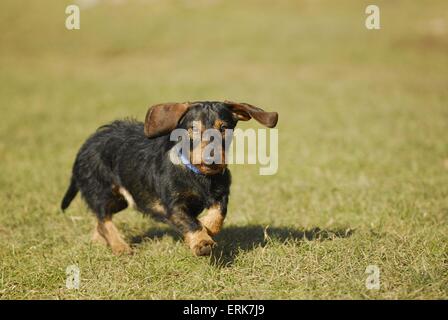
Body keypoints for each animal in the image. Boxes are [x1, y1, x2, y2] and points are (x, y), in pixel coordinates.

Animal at [59, 101, 276, 256]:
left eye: (223, 128)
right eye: (193, 129)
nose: (211, 158)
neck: (198, 175)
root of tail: (86, 145)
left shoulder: (221, 193)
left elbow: (218, 214)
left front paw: (207, 226)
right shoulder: (173, 205)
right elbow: (191, 222)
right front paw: (202, 241)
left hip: (124, 198)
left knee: (101, 220)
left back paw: (100, 242)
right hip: (102, 191)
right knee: (104, 218)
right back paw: (120, 247)